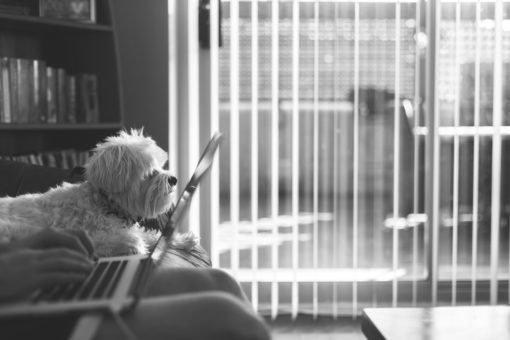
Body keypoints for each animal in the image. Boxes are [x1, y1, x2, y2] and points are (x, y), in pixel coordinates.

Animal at [0, 129, 194, 256]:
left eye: (161, 166)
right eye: (150, 172)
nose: (173, 179)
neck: (103, 203)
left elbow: (152, 235)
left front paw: (183, 240)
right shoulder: (92, 235)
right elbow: (130, 240)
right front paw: (134, 247)